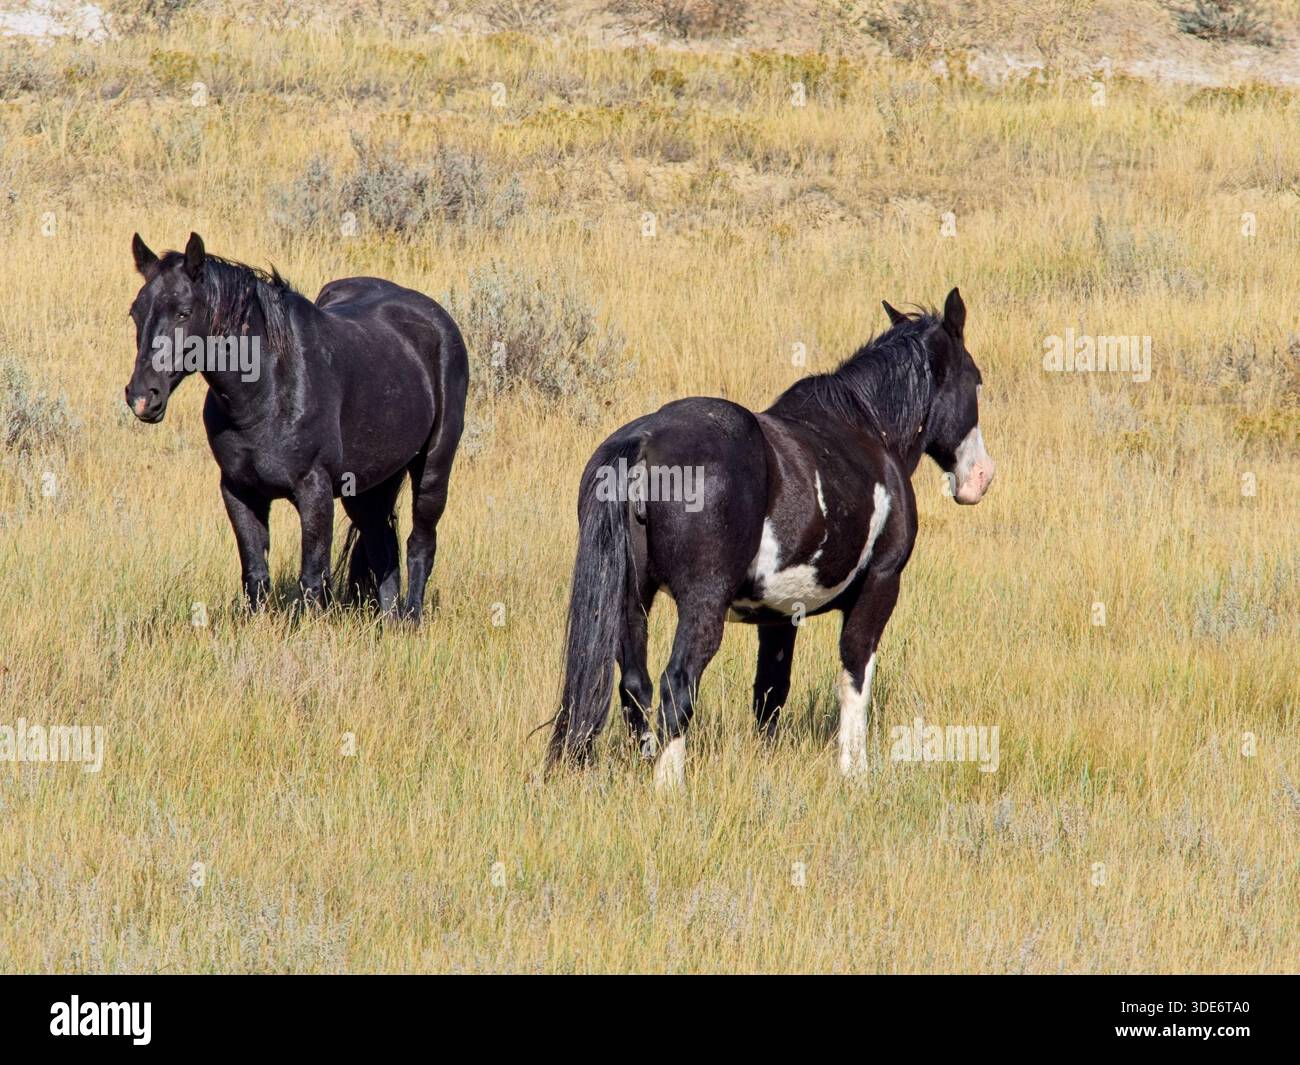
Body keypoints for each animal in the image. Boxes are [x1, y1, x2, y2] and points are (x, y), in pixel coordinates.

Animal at [124, 232, 468, 621]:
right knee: (383, 549)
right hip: (368, 486)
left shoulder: (314, 491)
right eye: (136, 313)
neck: (267, 389)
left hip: (433, 468)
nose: (142, 396)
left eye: (184, 312)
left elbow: (312, 579)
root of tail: (435, 317)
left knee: (420, 544)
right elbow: (255, 575)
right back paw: (390, 622)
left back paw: (411, 619)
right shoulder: (239, 491)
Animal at [546, 287, 994, 786]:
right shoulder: (881, 584)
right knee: (676, 684)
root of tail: (644, 443)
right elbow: (854, 676)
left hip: (631, 601)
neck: (866, 429)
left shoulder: (780, 616)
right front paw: (854, 772)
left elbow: (770, 692)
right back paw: (669, 786)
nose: (980, 477)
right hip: (702, 606)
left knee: (635, 686)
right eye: (976, 380)